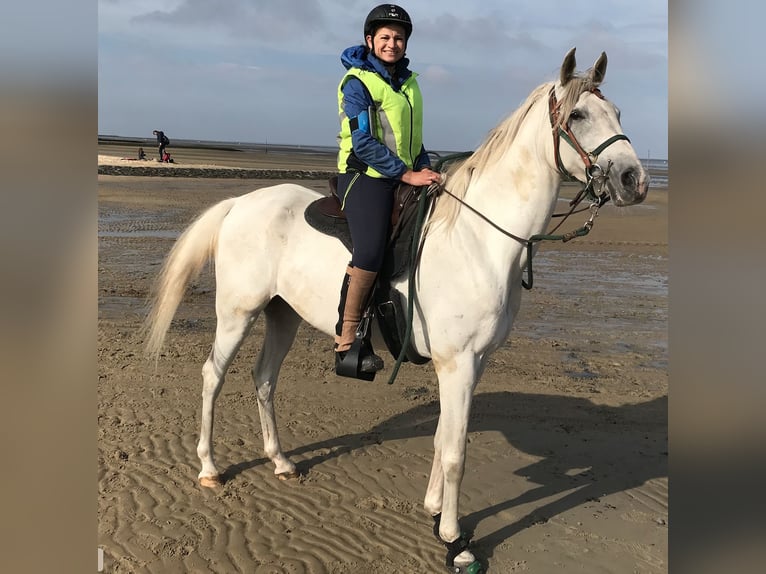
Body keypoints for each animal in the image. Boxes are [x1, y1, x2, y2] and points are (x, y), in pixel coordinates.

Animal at [142, 50, 648, 574]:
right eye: (578, 115)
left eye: (618, 113)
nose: (635, 180)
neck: (479, 239)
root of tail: (241, 202)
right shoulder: (457, 364)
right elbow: (455, 453)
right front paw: (454, 540)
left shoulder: (473, 363)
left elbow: (444, 438)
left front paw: (434, 511)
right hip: (237, 314)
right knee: (212, 376)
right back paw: (208, 468)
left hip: (283, 316)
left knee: (263, 378)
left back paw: (280, 462)